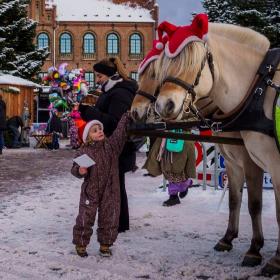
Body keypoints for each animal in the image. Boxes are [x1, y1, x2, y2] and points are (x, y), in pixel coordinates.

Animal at [131, 23, 280, 276]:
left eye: (154, 74)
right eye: (166, 67)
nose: (163, 105)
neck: (257, 94)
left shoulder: (263, 164)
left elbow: (258, 205)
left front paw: (264, 254)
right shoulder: (232, 161)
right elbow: (235, 200)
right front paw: (230, 239)